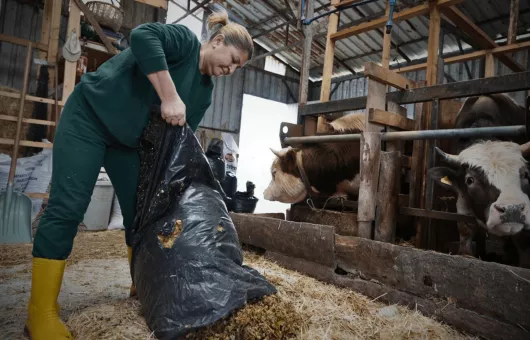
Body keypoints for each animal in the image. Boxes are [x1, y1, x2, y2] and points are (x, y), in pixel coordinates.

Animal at [424, 93, 528, 268]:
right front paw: (466, 253)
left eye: (525, 174)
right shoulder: (460, 188)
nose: (512, 210)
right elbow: (465, 224)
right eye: (470, 180)